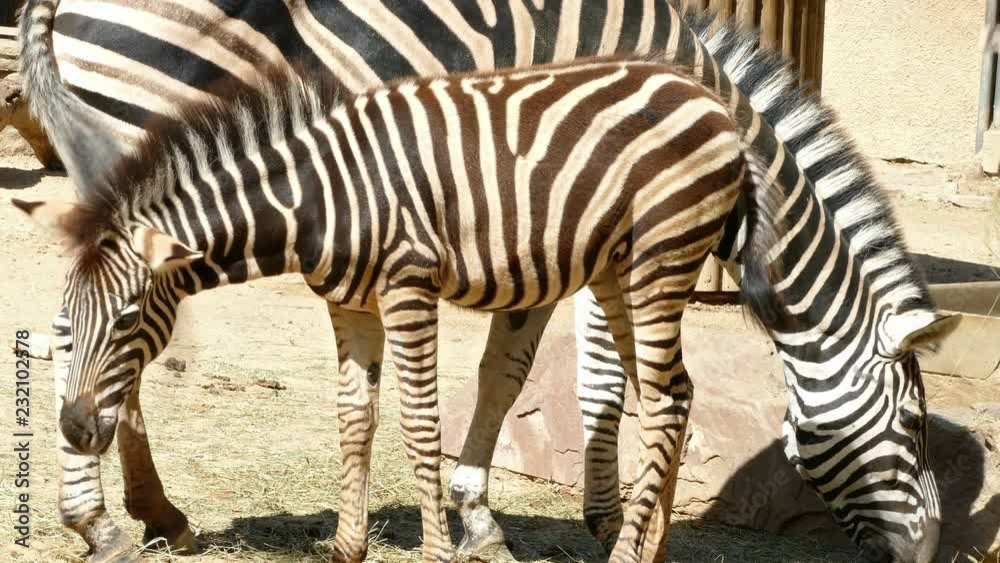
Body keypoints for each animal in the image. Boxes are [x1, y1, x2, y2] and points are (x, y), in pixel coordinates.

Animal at [20, 1, 953, 562]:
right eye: (912, 422)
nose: (930, 548)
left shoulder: (516, 253)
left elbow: (436, 403)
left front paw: (465, 524)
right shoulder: (542, 250)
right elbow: (519, 385)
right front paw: (516, 520)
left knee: (674, 393)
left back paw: (134, 509)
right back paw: (106, 514)